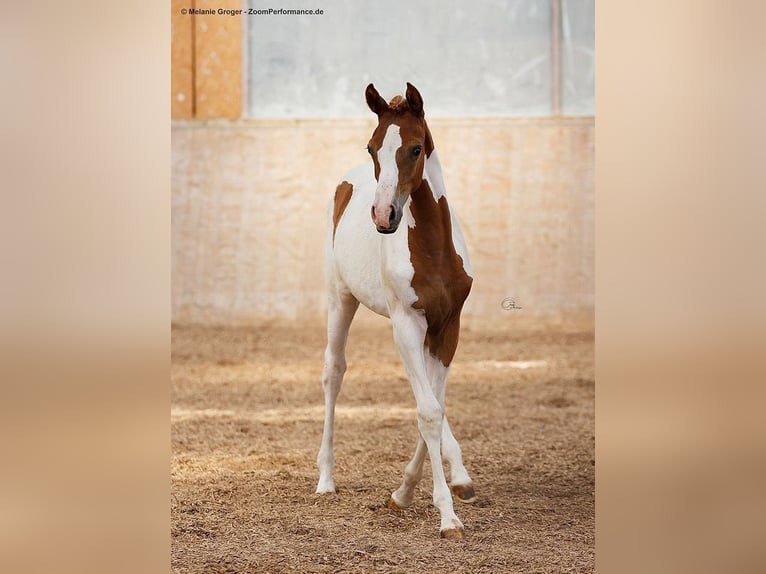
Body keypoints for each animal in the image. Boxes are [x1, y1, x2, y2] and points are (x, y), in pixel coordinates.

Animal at [316, 83, 474, 544]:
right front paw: (446, 517)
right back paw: (325, 479)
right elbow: (428, 412)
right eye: (372, 147)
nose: (384, 215)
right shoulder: (406, 324)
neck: (433, 250)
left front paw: (410, 491)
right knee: (333, 372)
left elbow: (435, 405)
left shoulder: (447, 327)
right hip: (340, 299)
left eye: (416, 147)